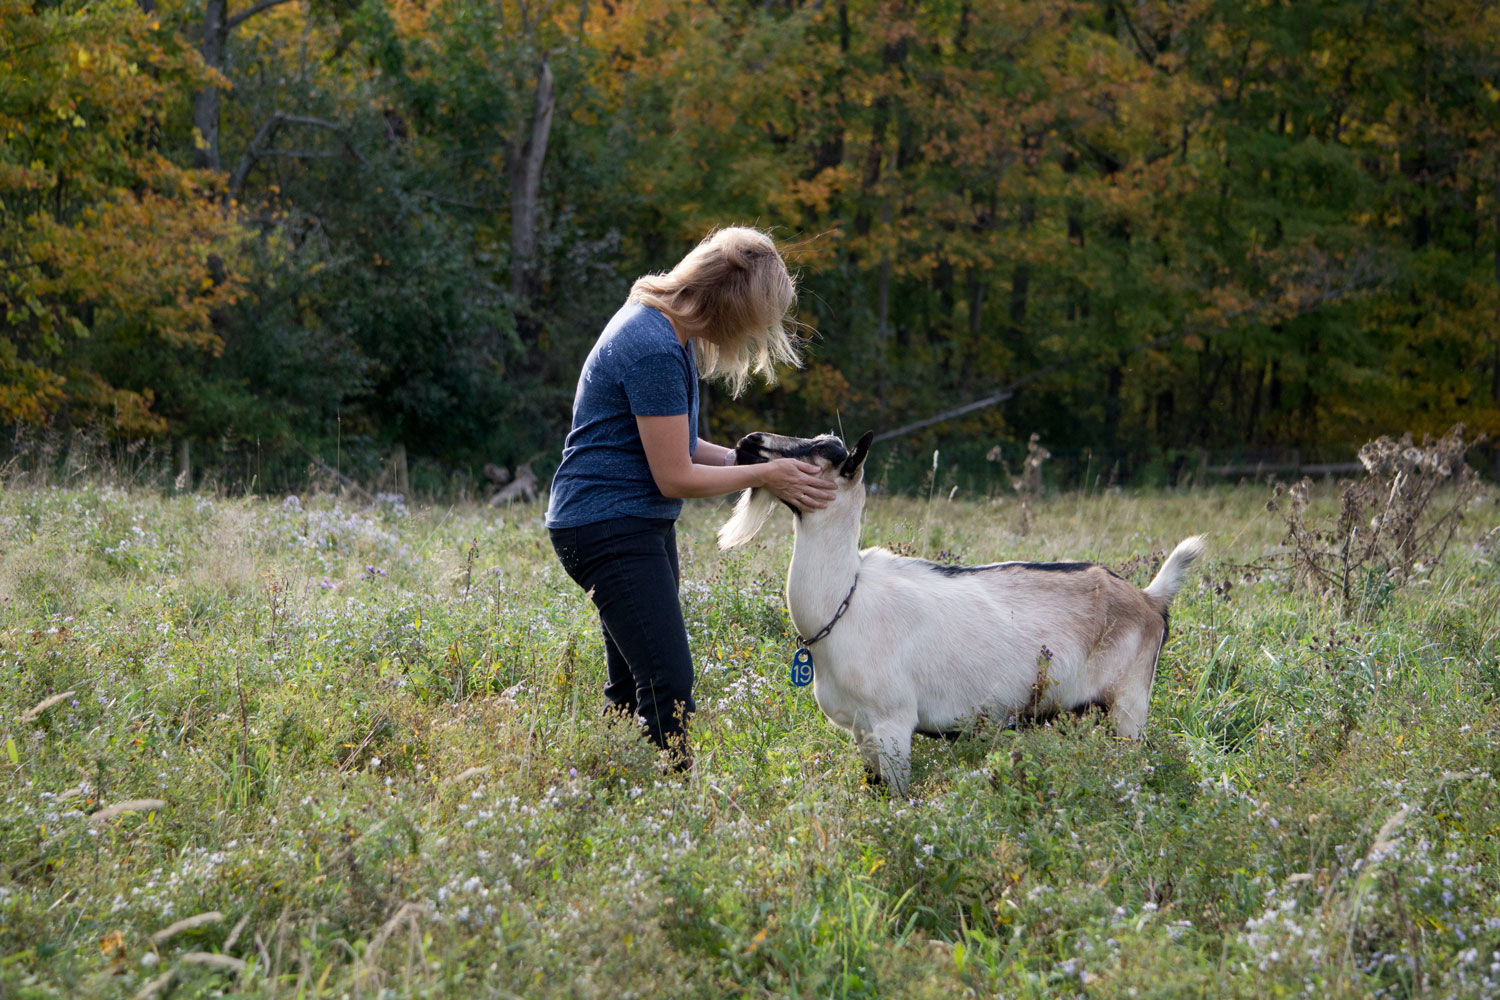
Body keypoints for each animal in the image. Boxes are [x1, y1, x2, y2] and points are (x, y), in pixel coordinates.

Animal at [718, 430, 1205, 795]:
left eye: (821, 453)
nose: (749, 441)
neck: (845, 600)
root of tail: (1151, 599)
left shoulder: (894, 723)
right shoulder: (861, 731)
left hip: (1128, 708)